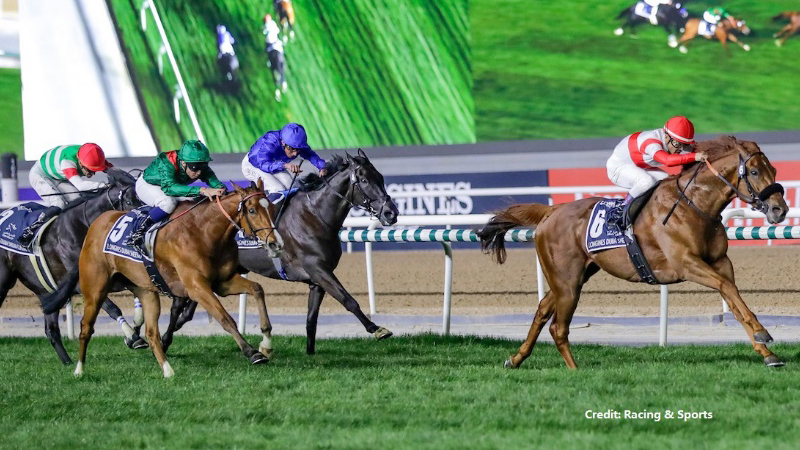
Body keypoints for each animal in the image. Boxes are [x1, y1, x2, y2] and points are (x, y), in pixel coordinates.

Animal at [0, 170, 143, 364]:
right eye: (128, 202)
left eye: (142, 199)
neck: (84, 228)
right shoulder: (82, 285)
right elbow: (113, 308)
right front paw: (133, 337)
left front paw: (135, 330)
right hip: (4, 282)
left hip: (45, 292)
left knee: (51, 330)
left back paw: (68, 362)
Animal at [42, 181, 284, 378]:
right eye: (251, 210)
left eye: (272, 208)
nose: (275, 244)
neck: (204, 232)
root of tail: (94, 225)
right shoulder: (197, 287)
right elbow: (225, 318)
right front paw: (252, 352)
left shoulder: (222, 283)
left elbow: (257, 288)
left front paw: (266, 343)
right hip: (95, 289)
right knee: (86, 328)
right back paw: (79, 369)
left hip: (146, 291)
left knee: (151, 333)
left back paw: (166, 369)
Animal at [159, 150, 399, 356]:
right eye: (365, 181)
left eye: (381, 178)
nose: (391, 213)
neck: (314, 216)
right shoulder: (318, 269)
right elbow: (348, 300)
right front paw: (377, 329)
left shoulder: (317, 280)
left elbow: (311, 319)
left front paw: (310, 353)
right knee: (178, 307)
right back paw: (162, 341)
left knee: (187, 311)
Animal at [477, 136, 788, 369]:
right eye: (754, 172)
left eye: (774, 170)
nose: (780, 210)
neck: (695, 204)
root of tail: (551, 211)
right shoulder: (687, 264)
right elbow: (728, 290)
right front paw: (763, 333)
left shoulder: (720, 262)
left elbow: (733, 298)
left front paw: (767, 352)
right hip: (567, 282)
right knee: (558, 327)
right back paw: (575, 371)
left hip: (575, 277)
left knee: (542, 311)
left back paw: (516, 358)